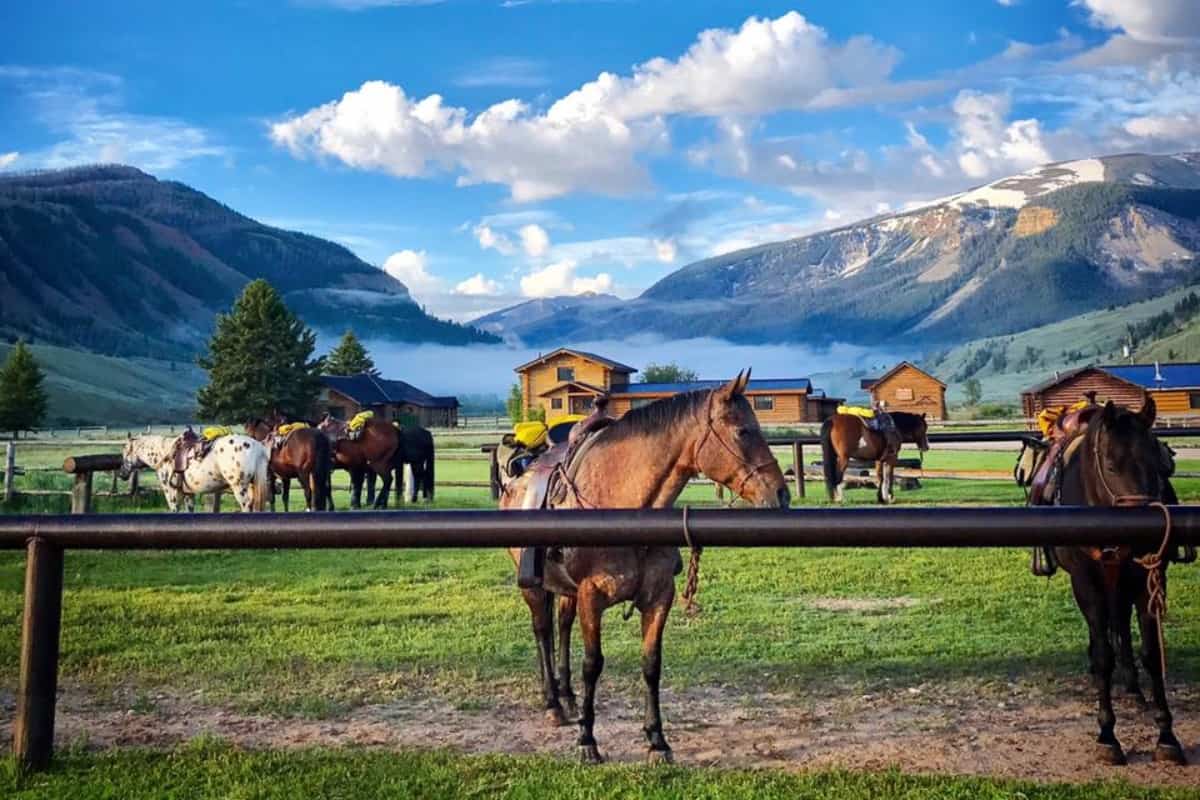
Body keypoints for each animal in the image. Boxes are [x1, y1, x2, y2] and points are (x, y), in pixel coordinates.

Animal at [118, 431, 270, 513]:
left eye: (125, 451)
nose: (122, 473)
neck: (164, 453)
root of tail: (257, 446)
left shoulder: (171, 492)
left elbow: (175, 510)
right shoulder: (188, 493)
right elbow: (189, 510)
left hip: (239, 487)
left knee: (246, 506)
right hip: (252, 485)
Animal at [1041, 402, 1190, 767]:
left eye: (1159, 463)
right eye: (1110, 464)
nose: (1143, 538)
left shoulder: (1148, 581)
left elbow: (1152, 654)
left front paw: (1167, 736)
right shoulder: (1087, 584)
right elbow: (1103, 655)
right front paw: (1107, 734)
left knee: (1120, 624)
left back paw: (1133, 687)